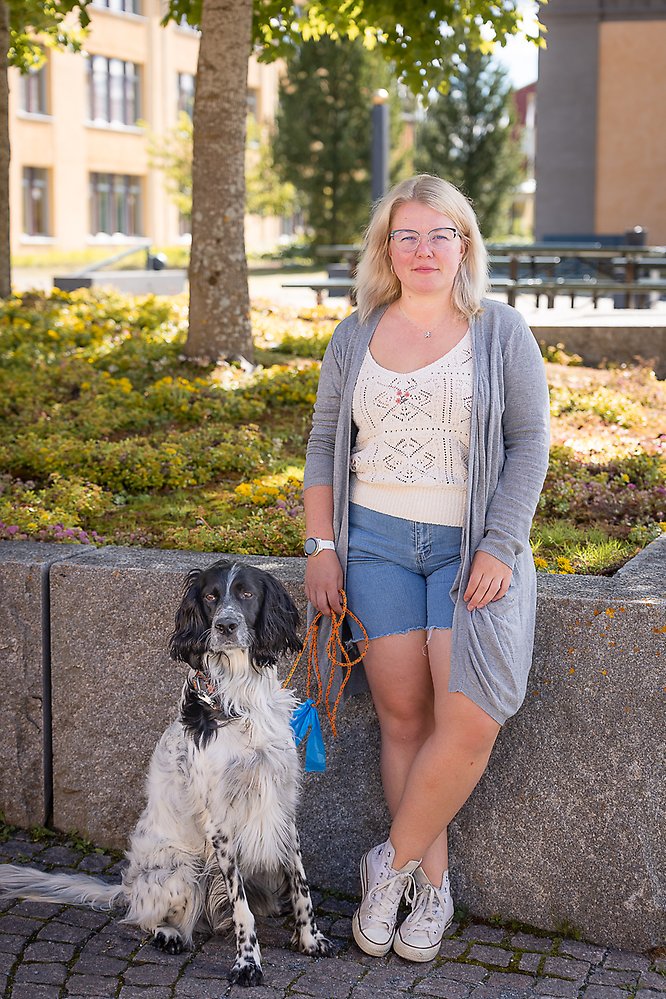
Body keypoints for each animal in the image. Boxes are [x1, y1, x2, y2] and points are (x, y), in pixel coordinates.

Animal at [0, 560, 330, 988]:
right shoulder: (220, 823)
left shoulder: (283, 803)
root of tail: (126, 887)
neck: (238, 698)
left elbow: (301, 883)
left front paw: (309, 939)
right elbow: (241, 907)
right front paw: (247, 962)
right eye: (210, 596)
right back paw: (168, 934)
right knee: (145, 917)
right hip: (179, 871)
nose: (225, 625)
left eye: (246, 593)